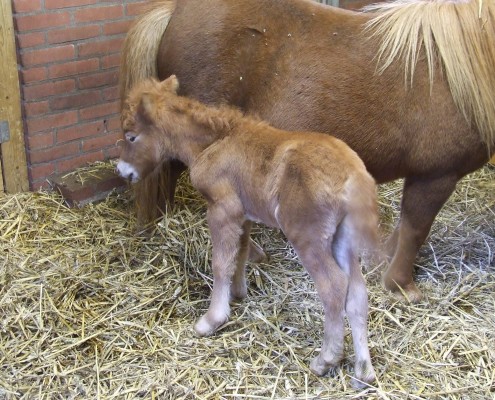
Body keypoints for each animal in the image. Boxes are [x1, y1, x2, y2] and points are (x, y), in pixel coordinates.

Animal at [117, 76, 380, 388]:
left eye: (131, 136)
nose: (122, 171)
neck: (213, 143)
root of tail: (355, 176)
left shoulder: (222, 209)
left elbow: (220, 262)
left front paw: (212, 319)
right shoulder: (243, 215)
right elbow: (240, 253)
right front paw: (238, 292)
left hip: (308, 237)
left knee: (334, 285)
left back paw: (325, 359)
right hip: (343, 239)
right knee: (358, 292)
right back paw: (363, 371)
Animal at [119, 0, 495, 300]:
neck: (447, 71)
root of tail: (176, 10)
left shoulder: (423, 177)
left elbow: (405, 227)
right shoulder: (436, 176)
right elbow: (416, 230)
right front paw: (402, 285)